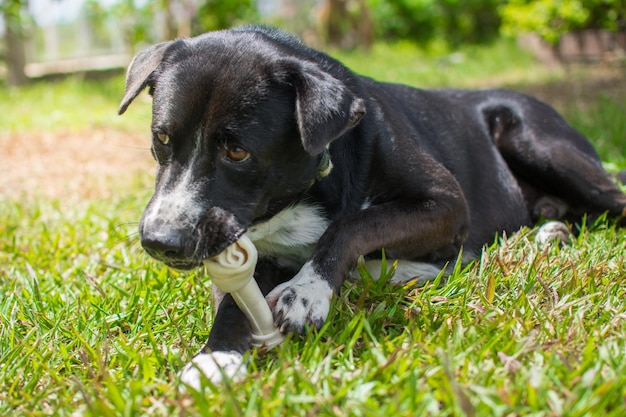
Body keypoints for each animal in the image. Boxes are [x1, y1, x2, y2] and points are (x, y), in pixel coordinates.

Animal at [118, 24, 624, 386]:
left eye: (238, 152)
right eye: (162, 138)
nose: (159, 241)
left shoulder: (446, 203)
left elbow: (352, 225)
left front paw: (308, 291)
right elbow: (232, 302)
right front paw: (215, 358)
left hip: (535, 139)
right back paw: (548, 232)